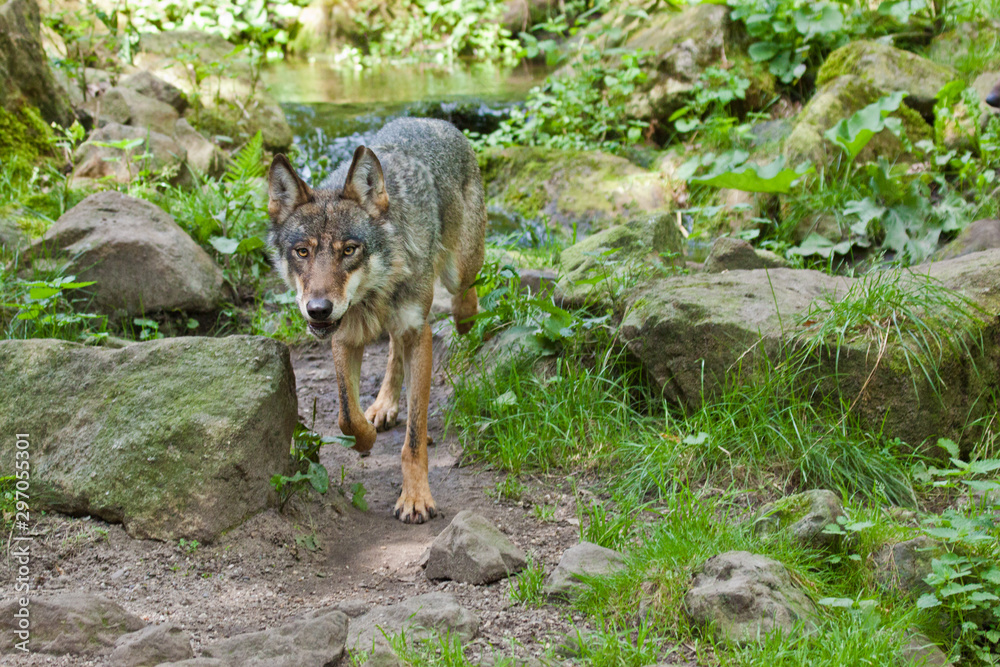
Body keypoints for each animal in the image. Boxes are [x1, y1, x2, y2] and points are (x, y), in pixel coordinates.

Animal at [266, 118, 486, 524]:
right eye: (302, 252)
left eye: (349, 250)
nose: (318, 309)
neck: (374, 294)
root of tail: (431, 120)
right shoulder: (344, 338)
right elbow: (347, 417)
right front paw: (366, 435)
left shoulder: (419, 333)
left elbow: (413, 437)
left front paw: (415, 498)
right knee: (393, 353)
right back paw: (384, 406)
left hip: (457, 270)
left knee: (465, 295)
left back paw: (466, 323)